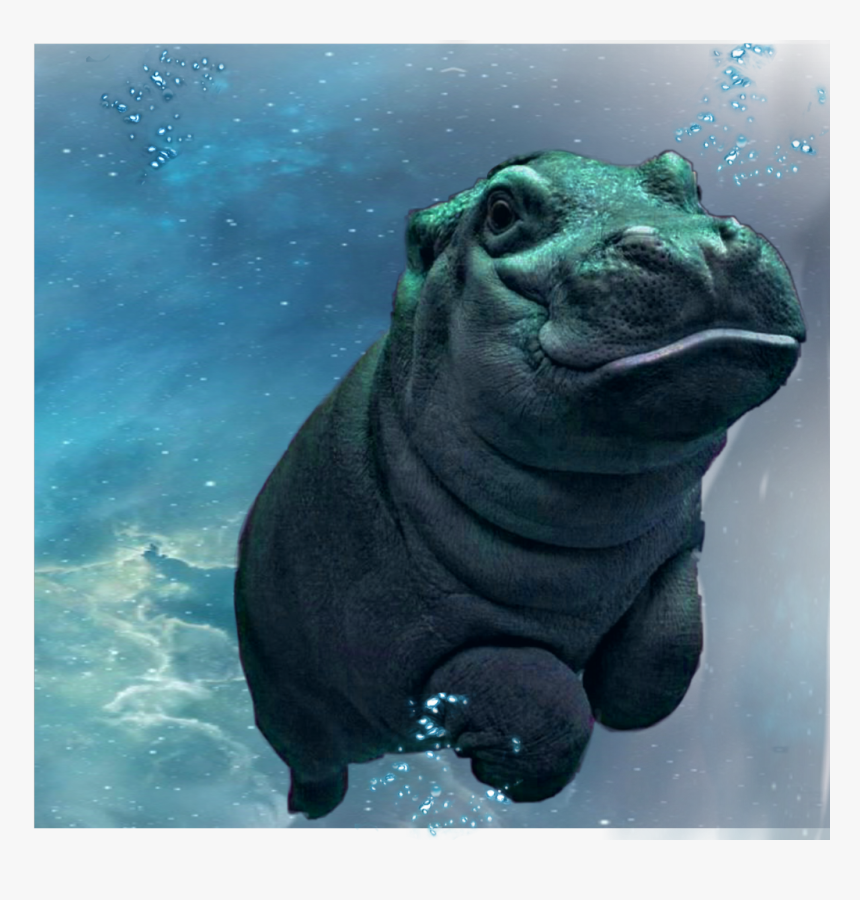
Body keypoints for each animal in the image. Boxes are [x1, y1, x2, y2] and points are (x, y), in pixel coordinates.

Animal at [234, 149, 805, 819]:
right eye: (502, 211)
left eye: (685, 177)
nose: (696, 244)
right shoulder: (409, 653)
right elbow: (544, 698)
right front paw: (499, 765)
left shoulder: (675, 549)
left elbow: (668, 647)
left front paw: (617, 700)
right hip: (288, 707)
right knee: (315, 760)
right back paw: (311, 809)